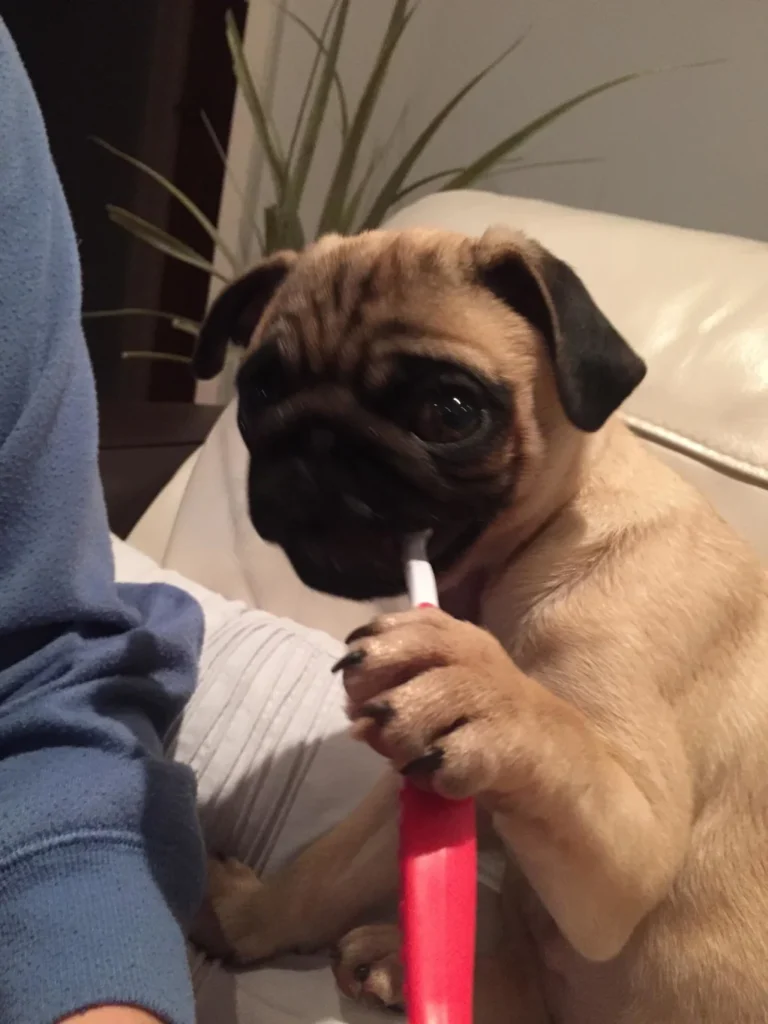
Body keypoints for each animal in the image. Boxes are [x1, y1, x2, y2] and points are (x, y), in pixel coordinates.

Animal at [189, 228, 768, 1019]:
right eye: (260, 392)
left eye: (451, 412)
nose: (317, 440)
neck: (540, 540)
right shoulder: (435, 769)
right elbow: (327, 870)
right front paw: (246, 918)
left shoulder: (629, 856)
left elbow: (559, 737)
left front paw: (485, 689)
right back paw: (402, 963)